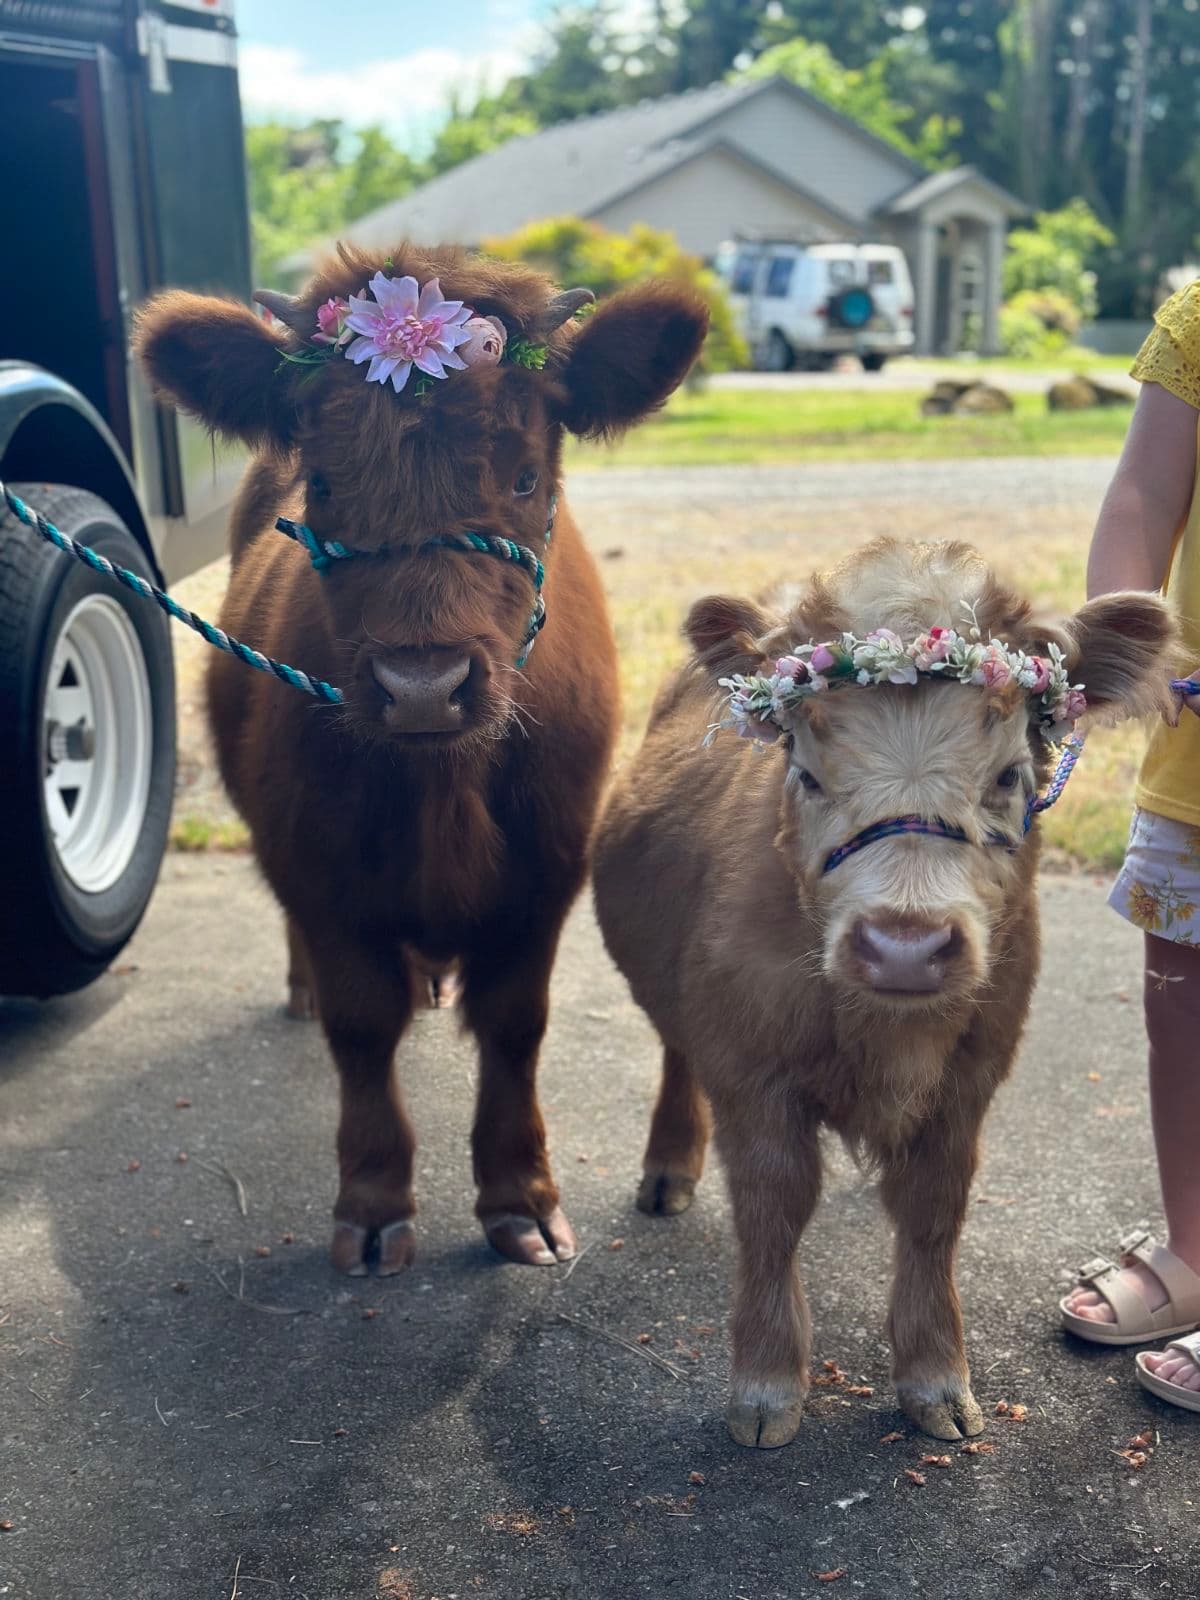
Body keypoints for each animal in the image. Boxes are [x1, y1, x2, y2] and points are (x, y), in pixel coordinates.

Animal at [135, 245, 707, 1274]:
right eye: (324, 483)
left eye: (523, 477)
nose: (422, 685)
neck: (444, 786)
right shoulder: (319, 871)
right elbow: (362, 1027)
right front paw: (372, 1202)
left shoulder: (545, 872)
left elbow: (516, 1028)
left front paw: (520, 1198)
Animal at [592, 537, 1172, 1445]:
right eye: (805, 773)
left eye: (1010, 775)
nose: (905, 946)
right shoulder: (752, 1075)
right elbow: (772, 1209)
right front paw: (767, 1384)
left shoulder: (968, 1085)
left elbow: (932, 1216)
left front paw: (936, 1377)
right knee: (675, 1055)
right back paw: (666, 1170)